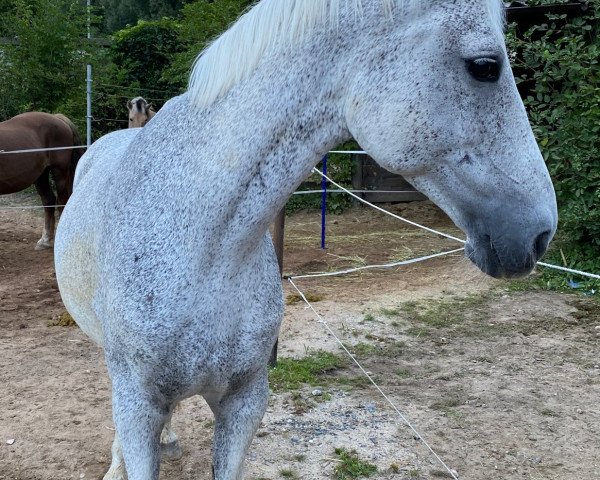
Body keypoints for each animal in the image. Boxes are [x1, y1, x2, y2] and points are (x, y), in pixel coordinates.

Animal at [0, 110, 82, 249]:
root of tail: (57, 118)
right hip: (41, 175)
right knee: (49, 201)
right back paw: (45, 240)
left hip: (59, 171)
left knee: (62, 202)